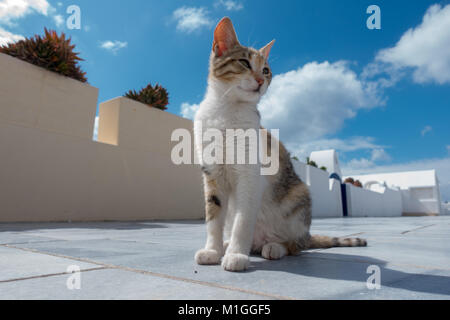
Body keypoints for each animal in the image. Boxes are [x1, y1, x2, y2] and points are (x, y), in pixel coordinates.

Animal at [193, 17, 366, 272]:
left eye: (266, 70)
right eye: (244, 62)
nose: (260, 80)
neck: (226, 111)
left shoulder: (250, 174)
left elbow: (243, 219)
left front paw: (236, 255)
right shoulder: (212, 173)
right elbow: (213, 217)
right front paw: (213, 250)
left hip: (299, 198)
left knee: (296, 246)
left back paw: (274, 247)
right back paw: (228, 244)